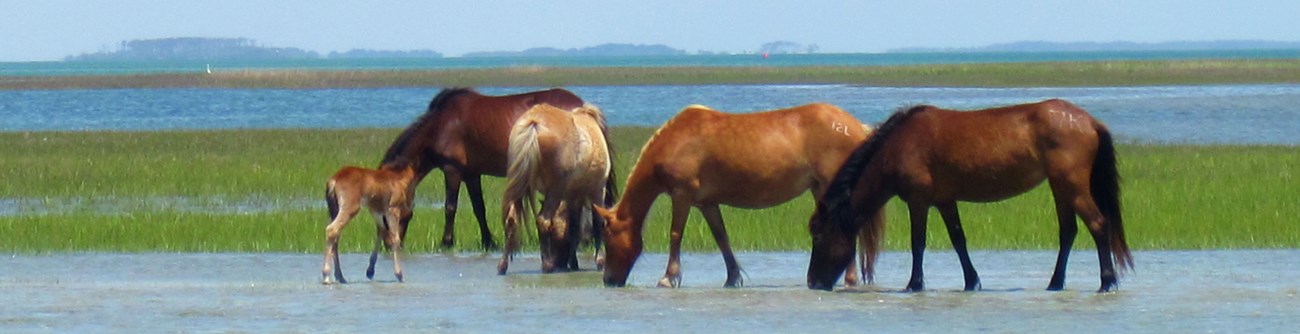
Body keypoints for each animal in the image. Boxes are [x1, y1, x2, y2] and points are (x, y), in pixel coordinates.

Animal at [379, 87, 603, 248]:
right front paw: (488, 241)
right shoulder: (471, 174)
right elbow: (479, 208)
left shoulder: (452, 171)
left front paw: (446, 242)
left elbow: (450, 207)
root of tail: (582, 106)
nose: (389, 245)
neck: (440, 125)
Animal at [499, 103, 616, 272]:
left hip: (521, 186)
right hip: (555, 191)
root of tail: (534, 123)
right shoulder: (597, 190)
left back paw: (503, 265)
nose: (559, 262)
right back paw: (547, 265)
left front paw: (574, 262)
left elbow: (574, 227)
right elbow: (597, 222)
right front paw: (600, 261)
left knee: (512, 220)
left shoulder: (573, 196)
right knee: (543, 220)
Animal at [592, 102, 883, 287]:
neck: (677, 140)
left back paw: (849, 278)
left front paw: (669, 277)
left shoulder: (681, 195)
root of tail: (855, 125)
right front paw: (732, 277)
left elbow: (675, 235)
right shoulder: (706, 203)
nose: (608, 280)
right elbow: (721, 237)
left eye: (608, 237)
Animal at [806, 98, 1133, 291]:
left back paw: (1107, 282)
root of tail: (1089, 121)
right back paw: (1055, 283)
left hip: (1072, 186)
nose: (813, 282)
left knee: (1098, 225)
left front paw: (914, 284)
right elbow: (958, 240)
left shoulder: (919, 201)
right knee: (1068, 232)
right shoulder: (944, 201)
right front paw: (972, 281)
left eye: (818, 236)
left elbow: (917, 243)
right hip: (1061, 187)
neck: (899, 145)